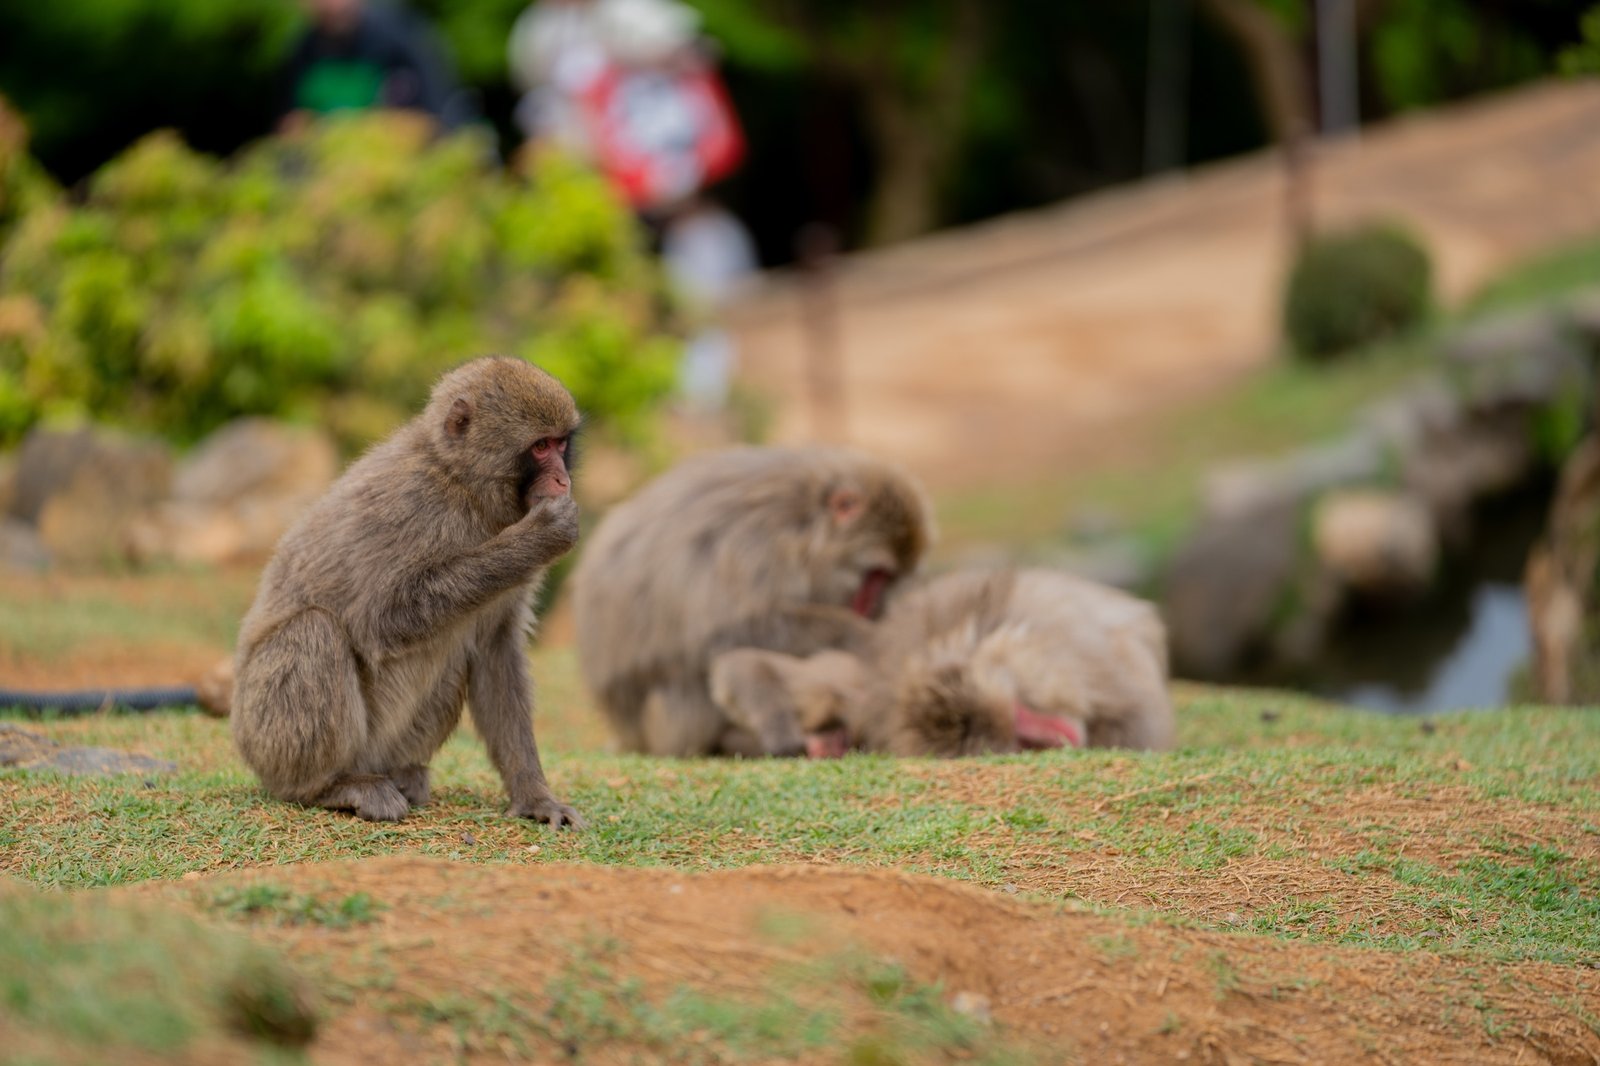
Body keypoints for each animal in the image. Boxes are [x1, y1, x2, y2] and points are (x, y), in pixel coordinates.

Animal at [230, 356, 583, 825]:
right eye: (541, 447)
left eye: (561, 445)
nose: (562, 481)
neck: (462, 482)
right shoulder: (413, 506)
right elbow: (382, 618)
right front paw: (540, 537)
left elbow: (495, 647)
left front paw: (534, 797)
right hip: (263, 737)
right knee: (315, 630)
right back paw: (326, 786)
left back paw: (404, 774)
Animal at [571, 446, 933, 757]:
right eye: (877, 575)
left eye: (892, 578)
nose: (874, 607)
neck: (805, 522)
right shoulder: (755, 539)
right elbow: (724, 633)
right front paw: (861, 634)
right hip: (665, 720)